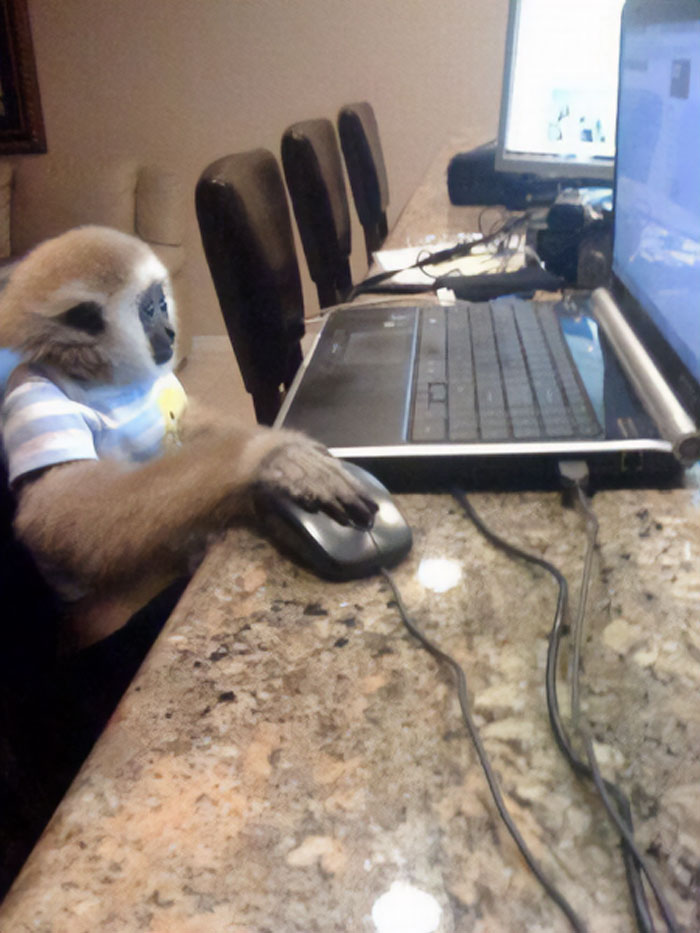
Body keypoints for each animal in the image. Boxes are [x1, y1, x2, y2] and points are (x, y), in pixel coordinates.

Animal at [0, 225, 377, 651]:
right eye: (148, 311)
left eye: (161, 304)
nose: (169, 330)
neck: (100, 379)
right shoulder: (34, 398)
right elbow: (59, 511)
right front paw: (267, 457)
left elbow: (190, 420)